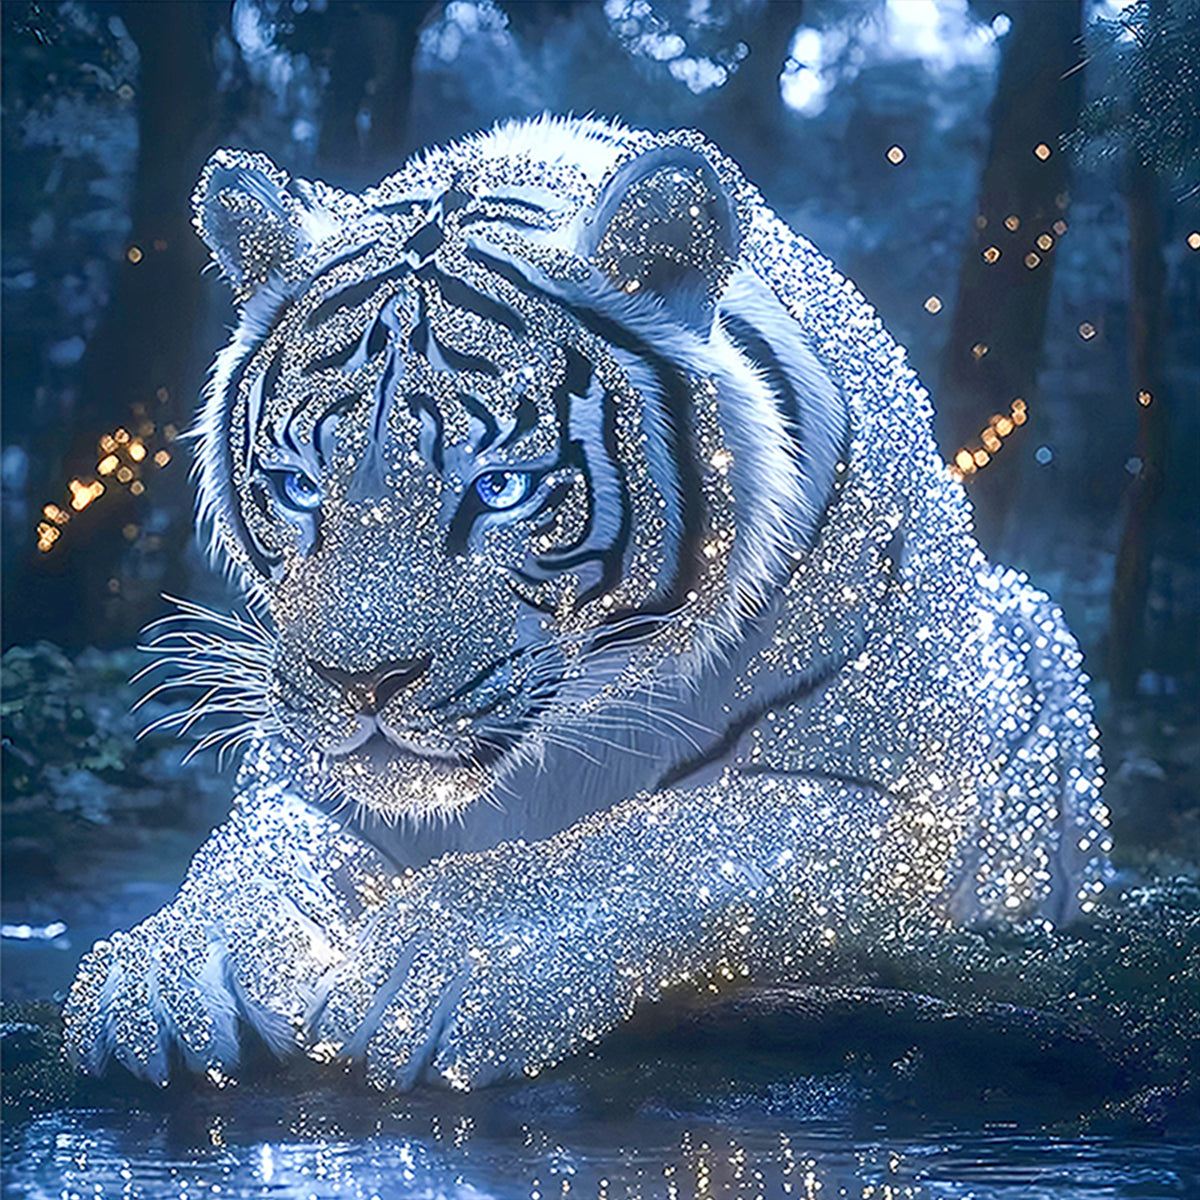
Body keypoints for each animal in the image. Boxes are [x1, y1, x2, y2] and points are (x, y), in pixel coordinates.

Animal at [64, 115, 1111, 1091]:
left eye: (499, 489)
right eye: (297, 486)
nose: (359, 683)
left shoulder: (896, 797)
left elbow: (664, 844)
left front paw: (434, 964)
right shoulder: (304, 777)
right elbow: (250, 861)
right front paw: (162, 972)